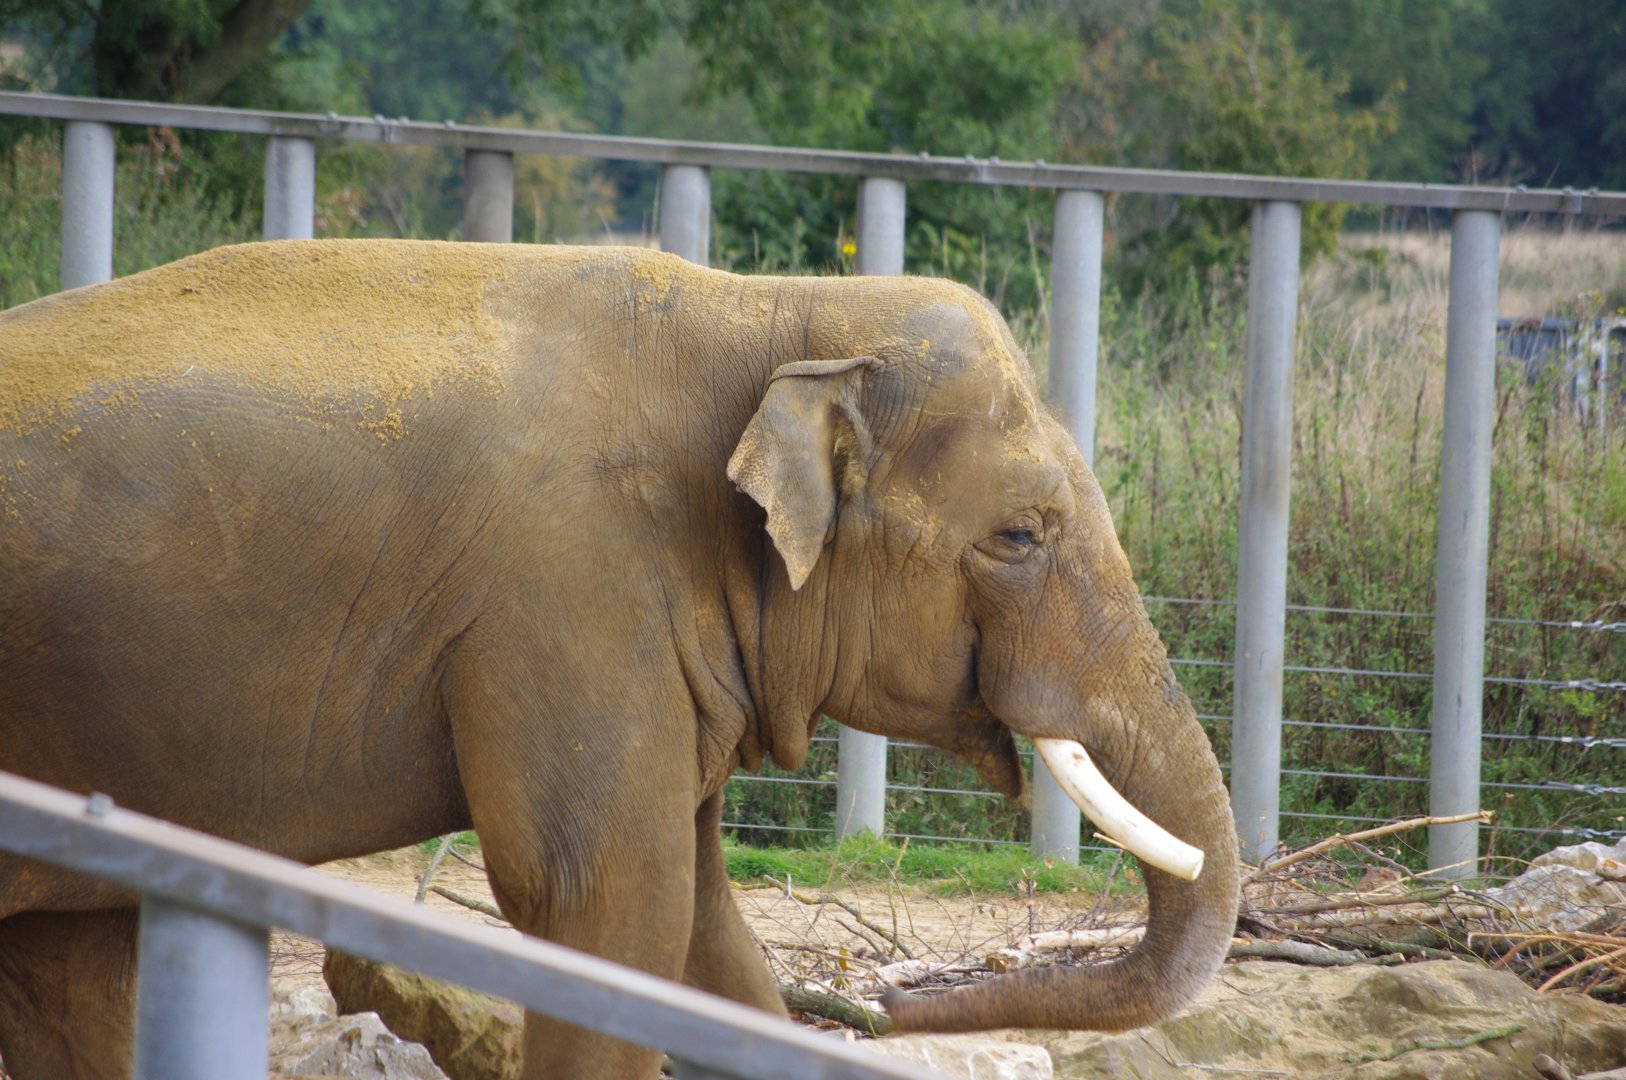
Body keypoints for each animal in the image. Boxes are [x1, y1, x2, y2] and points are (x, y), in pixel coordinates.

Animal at [0, 239, 1240, 1078]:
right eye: (1020, 535)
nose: (877, 1012)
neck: (771, 311)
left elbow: (702, 934)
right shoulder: (569, 596)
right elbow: (600, 900)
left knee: (71, 960)